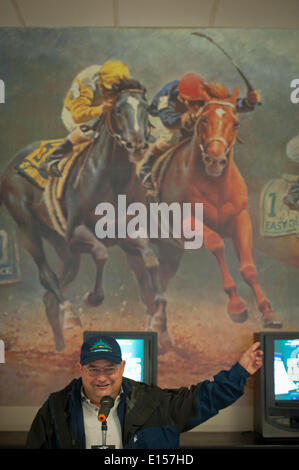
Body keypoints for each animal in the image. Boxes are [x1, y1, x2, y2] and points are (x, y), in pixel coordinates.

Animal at [156, 88, 284, 328]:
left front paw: (267, 310)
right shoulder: (186, 221)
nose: (215, 160)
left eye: (236, 123)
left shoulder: (241, 219)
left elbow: (248, 268)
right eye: (203, 119)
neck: (214, 185)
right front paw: (236, 305)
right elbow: (216, 243)